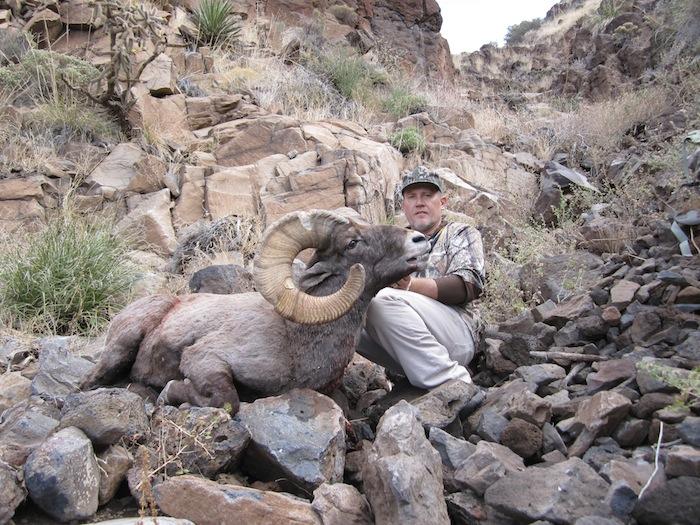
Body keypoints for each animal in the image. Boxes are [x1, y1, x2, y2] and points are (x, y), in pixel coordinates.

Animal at [82, 210, 430, 414]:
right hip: (122, 346)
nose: (420, 240)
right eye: (352, 243)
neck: (295, 338)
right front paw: (167, 392)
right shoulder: (205, 359)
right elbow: (227, 399)